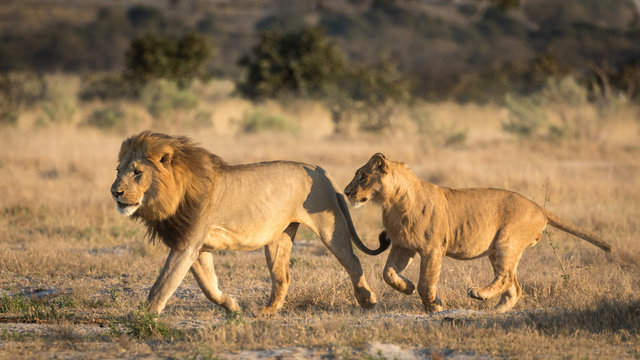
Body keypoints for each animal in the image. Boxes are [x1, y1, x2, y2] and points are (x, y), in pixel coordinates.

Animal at [109, 131, 384, 316]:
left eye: (137, 172)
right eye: (118, 171)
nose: (115, 192)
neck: (172, 195)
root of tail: (316, 167)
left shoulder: (187, 245)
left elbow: (161, 286)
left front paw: (142, 319)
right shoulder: (193, 246)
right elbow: (208, 286)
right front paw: (231, 306)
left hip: (329, 225)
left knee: (352, 261)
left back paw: (368, 300)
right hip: (278, 237)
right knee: (282, 275)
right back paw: (269, 310)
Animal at [342, 153, 612, 314]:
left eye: (363, 176)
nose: (345, 192)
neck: (392, 202)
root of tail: (539, 208)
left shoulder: (432, 248)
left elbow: (426, 282)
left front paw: (435, 307)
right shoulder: (402, 246)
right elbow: (388, 273)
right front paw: (406, 287)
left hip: (507, 241)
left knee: (505, 278)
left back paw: (478, 294)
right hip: (497, 250)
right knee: (513, 285)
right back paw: (495, 312)